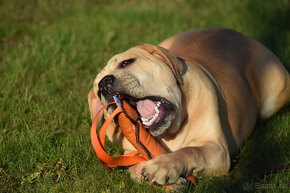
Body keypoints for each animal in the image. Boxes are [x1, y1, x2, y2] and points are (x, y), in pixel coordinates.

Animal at [88, 27, 290, 188]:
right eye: (97, 89)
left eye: (127, 62)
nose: (104, 84)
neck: (170, 133)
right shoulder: (133, 153)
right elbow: (136, 169)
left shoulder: (216, 149)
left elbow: (191, 151)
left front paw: (164, 165)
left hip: (276, 89)